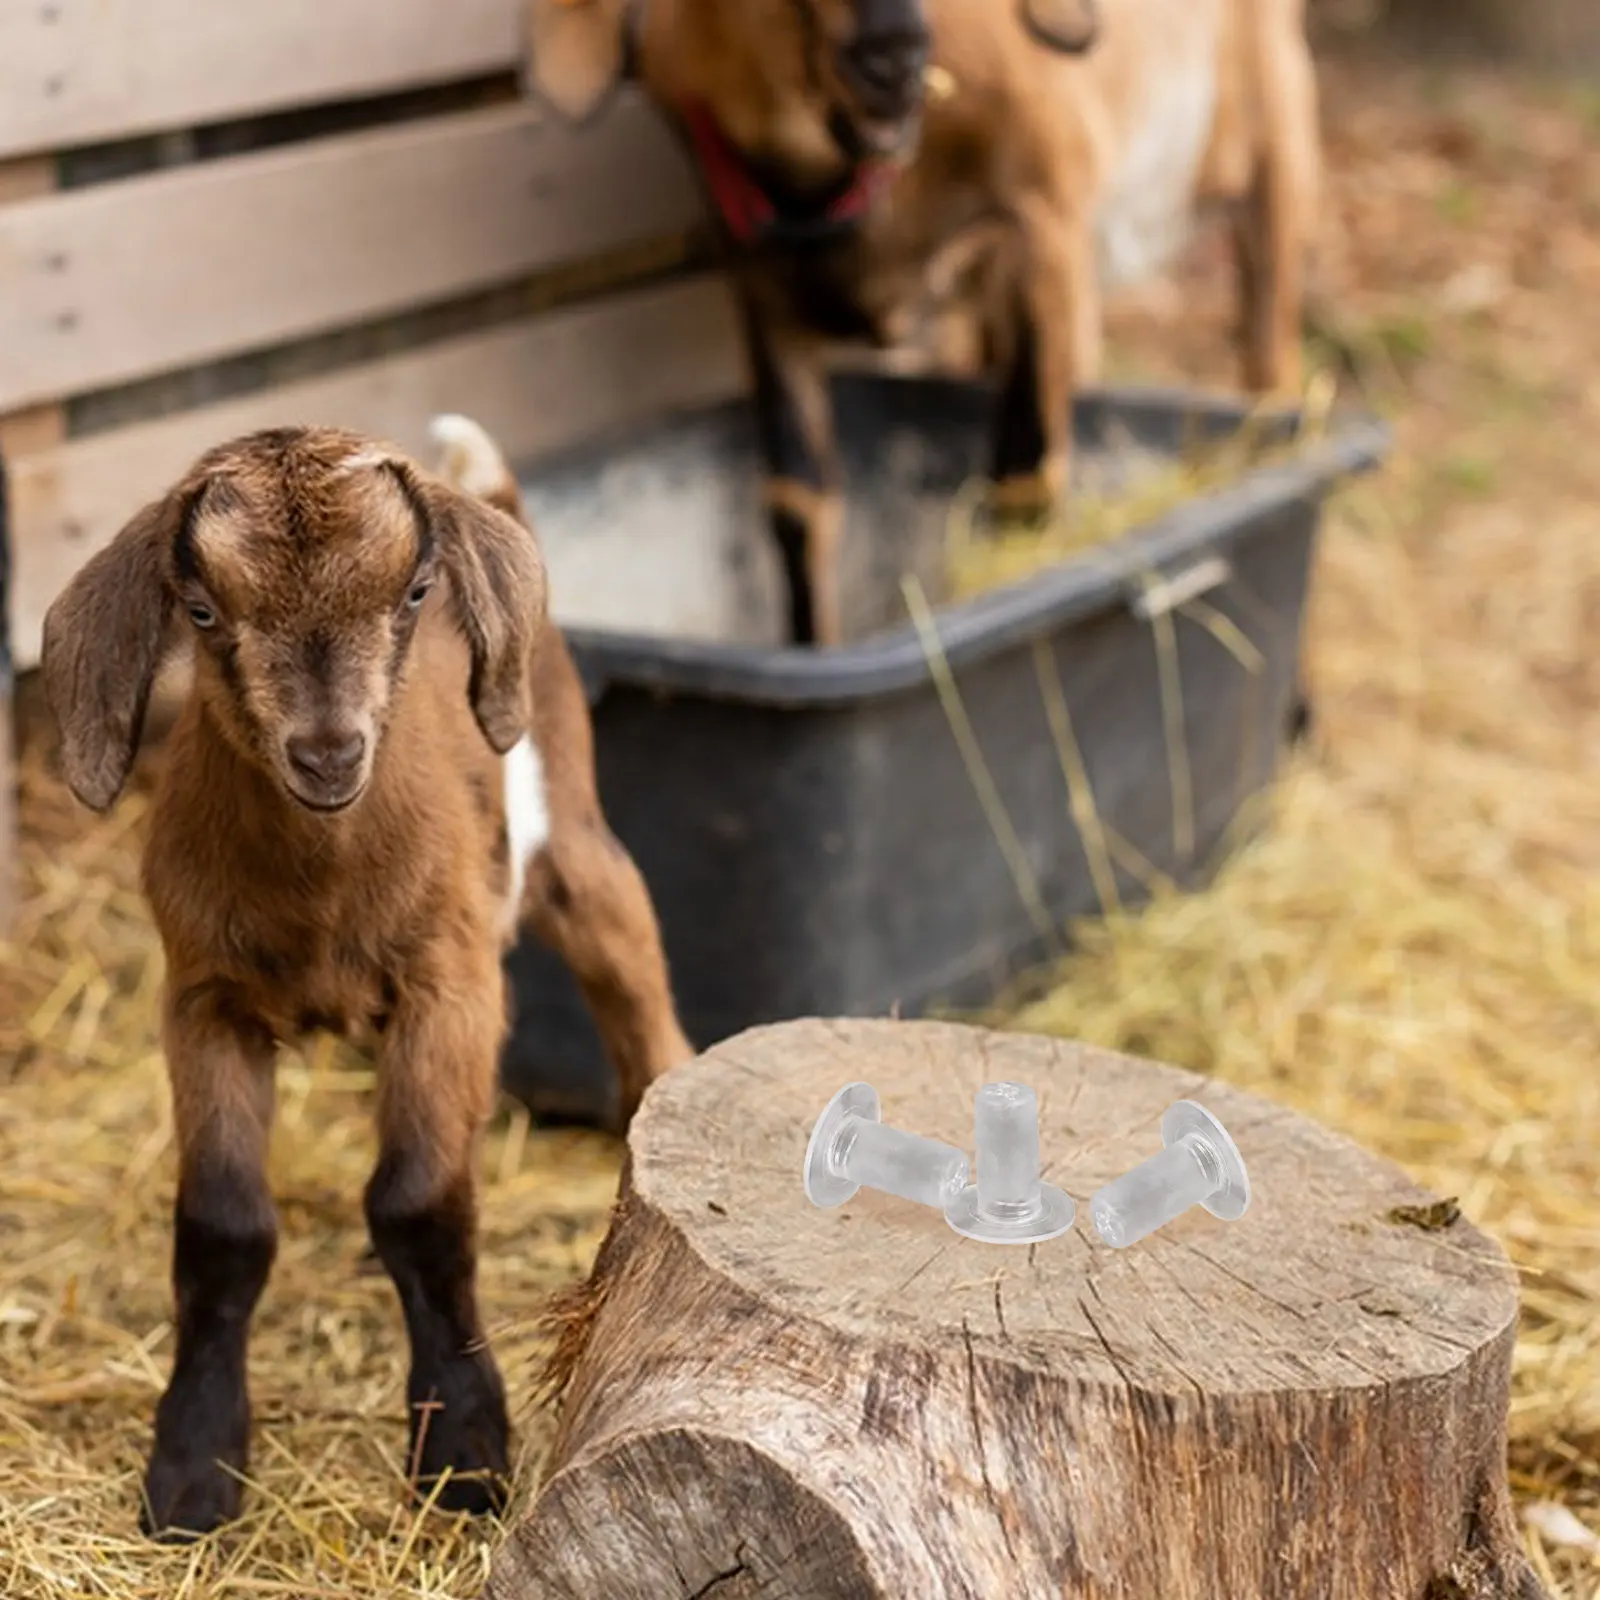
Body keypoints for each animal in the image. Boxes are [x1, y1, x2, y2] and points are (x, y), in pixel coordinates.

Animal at [38, 416, 694, 1540]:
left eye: (416, 591)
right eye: (203, 609)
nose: (328, 752)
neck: (322, 891)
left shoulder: (450, 983)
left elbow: (421, 1202)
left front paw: (463, 1451)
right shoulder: (202, 1000)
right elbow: (223, 1224)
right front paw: (193, 1467)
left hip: (574, 840)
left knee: (640, 1009)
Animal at [523, 0, 1320, 647]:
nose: (894, 57)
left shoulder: (1041, 232)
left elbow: (1025, 478)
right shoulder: (764, 292)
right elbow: (796, 502)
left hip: (1265, 127)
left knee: (1270, 362)